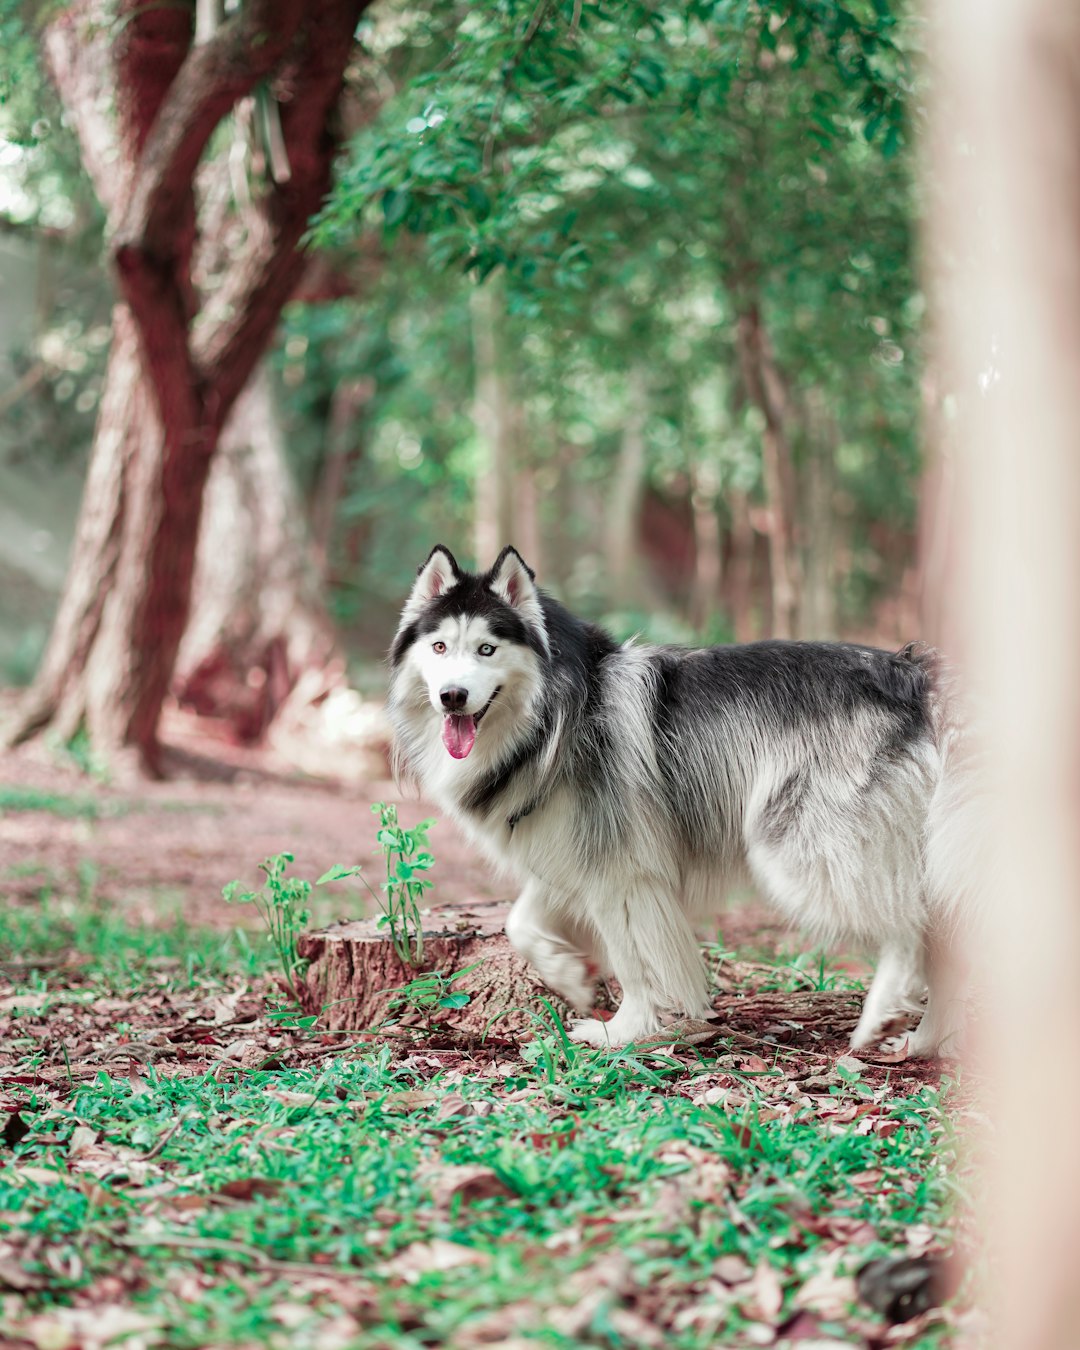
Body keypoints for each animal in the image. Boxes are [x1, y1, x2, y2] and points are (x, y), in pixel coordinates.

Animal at [391, 545, 972, 1053]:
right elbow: (520, 924)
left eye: (487, 649)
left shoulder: (622, 872)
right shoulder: (572, 850)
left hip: (800, 851)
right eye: (439, 648)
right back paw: (921, 1042)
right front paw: (572, 978)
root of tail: (912, 674)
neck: (555, 713)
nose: (452, 697)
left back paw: (885, 1015)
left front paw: (625, 1030)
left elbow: (633, 961)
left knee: (911, 925)